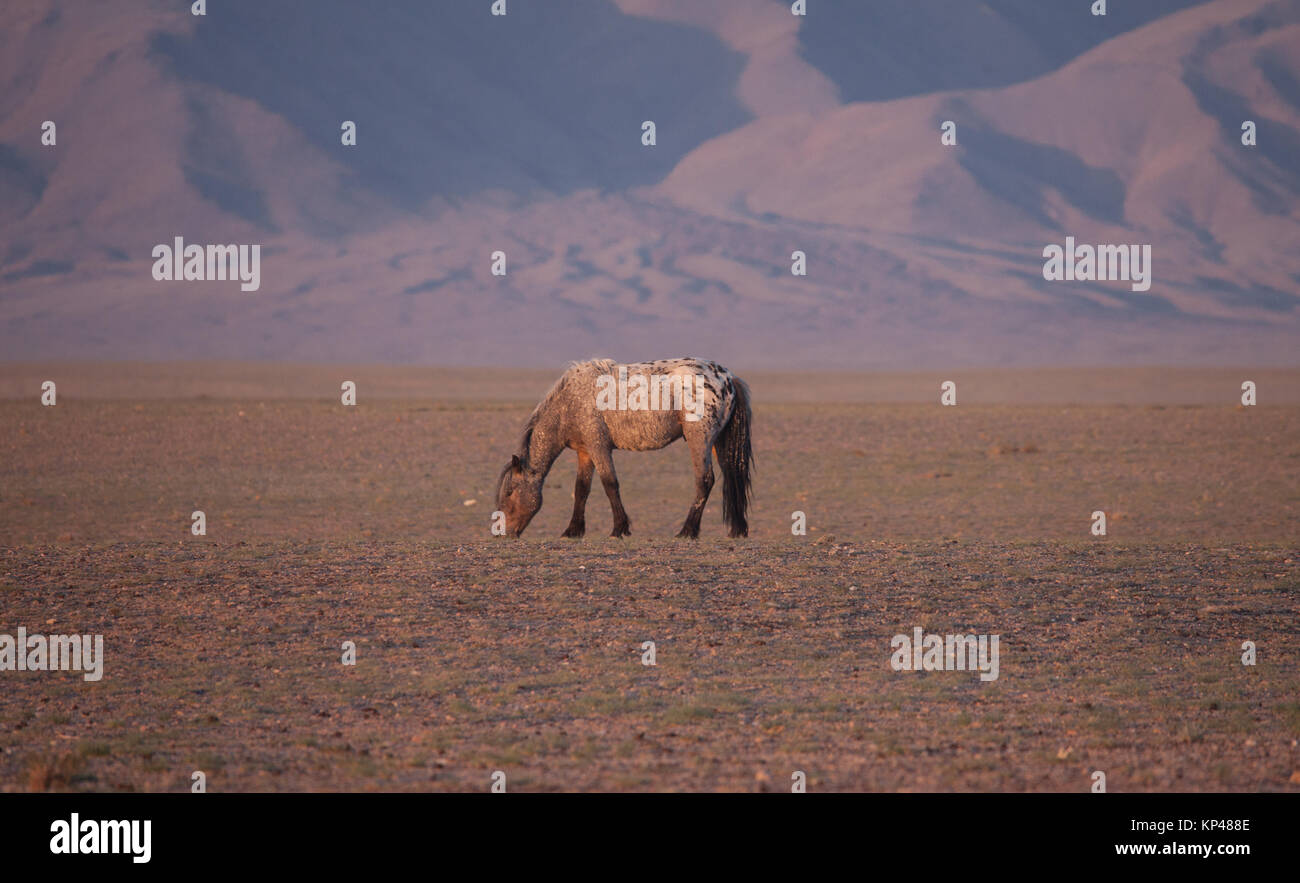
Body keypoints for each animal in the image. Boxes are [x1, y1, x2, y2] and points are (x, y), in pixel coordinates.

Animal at [495, 358, 753, 538]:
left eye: (509, 492)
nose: (504, 534)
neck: (570, 402)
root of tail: (729, 378)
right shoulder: (585, 452)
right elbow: (581, 489)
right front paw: (573, 530)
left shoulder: (599, 447)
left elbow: (610, 484)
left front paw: (619, 528)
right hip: (718, 443)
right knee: (731, 477)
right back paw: (737, 529)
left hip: (700, 439)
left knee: (705, 480)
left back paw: (687, 531)